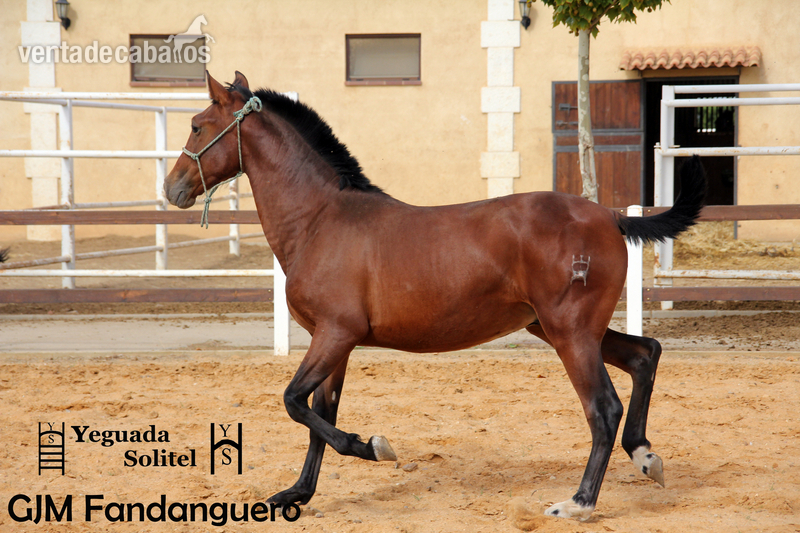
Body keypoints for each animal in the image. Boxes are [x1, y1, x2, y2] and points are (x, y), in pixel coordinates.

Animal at [164, 71, 706, 520]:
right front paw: (296, 494)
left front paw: (375, 446)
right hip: (559, 328)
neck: (319, 220)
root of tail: (610, 217)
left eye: (196, 125)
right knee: (645, 355)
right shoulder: (335, 341)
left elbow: (296, 403)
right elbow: (319, 412)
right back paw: (645, 456)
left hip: (569, 333)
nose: (172, 189)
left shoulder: (336, 333)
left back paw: (579, 502)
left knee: (604, 408)